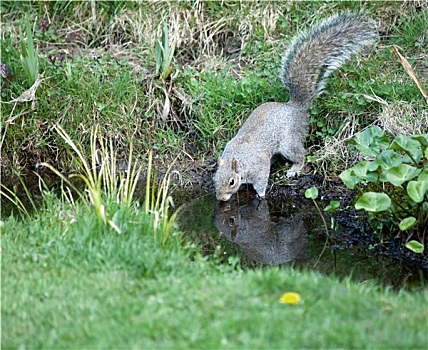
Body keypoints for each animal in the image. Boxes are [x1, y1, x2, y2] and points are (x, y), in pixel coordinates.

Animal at [214, 13, 378, 202]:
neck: (240, 159)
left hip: (289, 143)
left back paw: (294, 169)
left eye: (232, 182)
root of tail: (295, 106)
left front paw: (261, 195)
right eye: (214, 178)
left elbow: (261, 181)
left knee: (300, 155)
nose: (221, 199)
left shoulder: (259, 166)